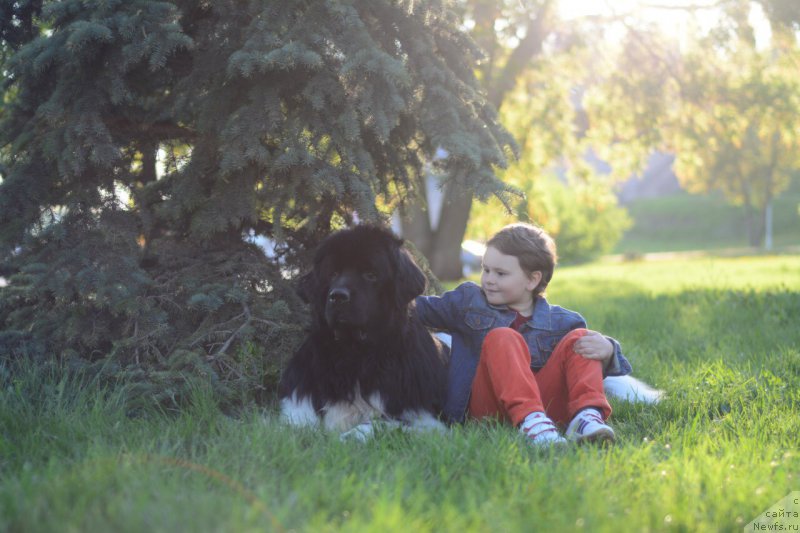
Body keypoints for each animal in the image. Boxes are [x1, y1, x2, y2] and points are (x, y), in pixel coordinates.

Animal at [278, 224, 446, 436]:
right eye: (333, 274)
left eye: (371, 275)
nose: (338, 296)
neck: (355, 356)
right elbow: (295, 427)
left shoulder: (428, 421)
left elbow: (377, 423)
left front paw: (349, 437)